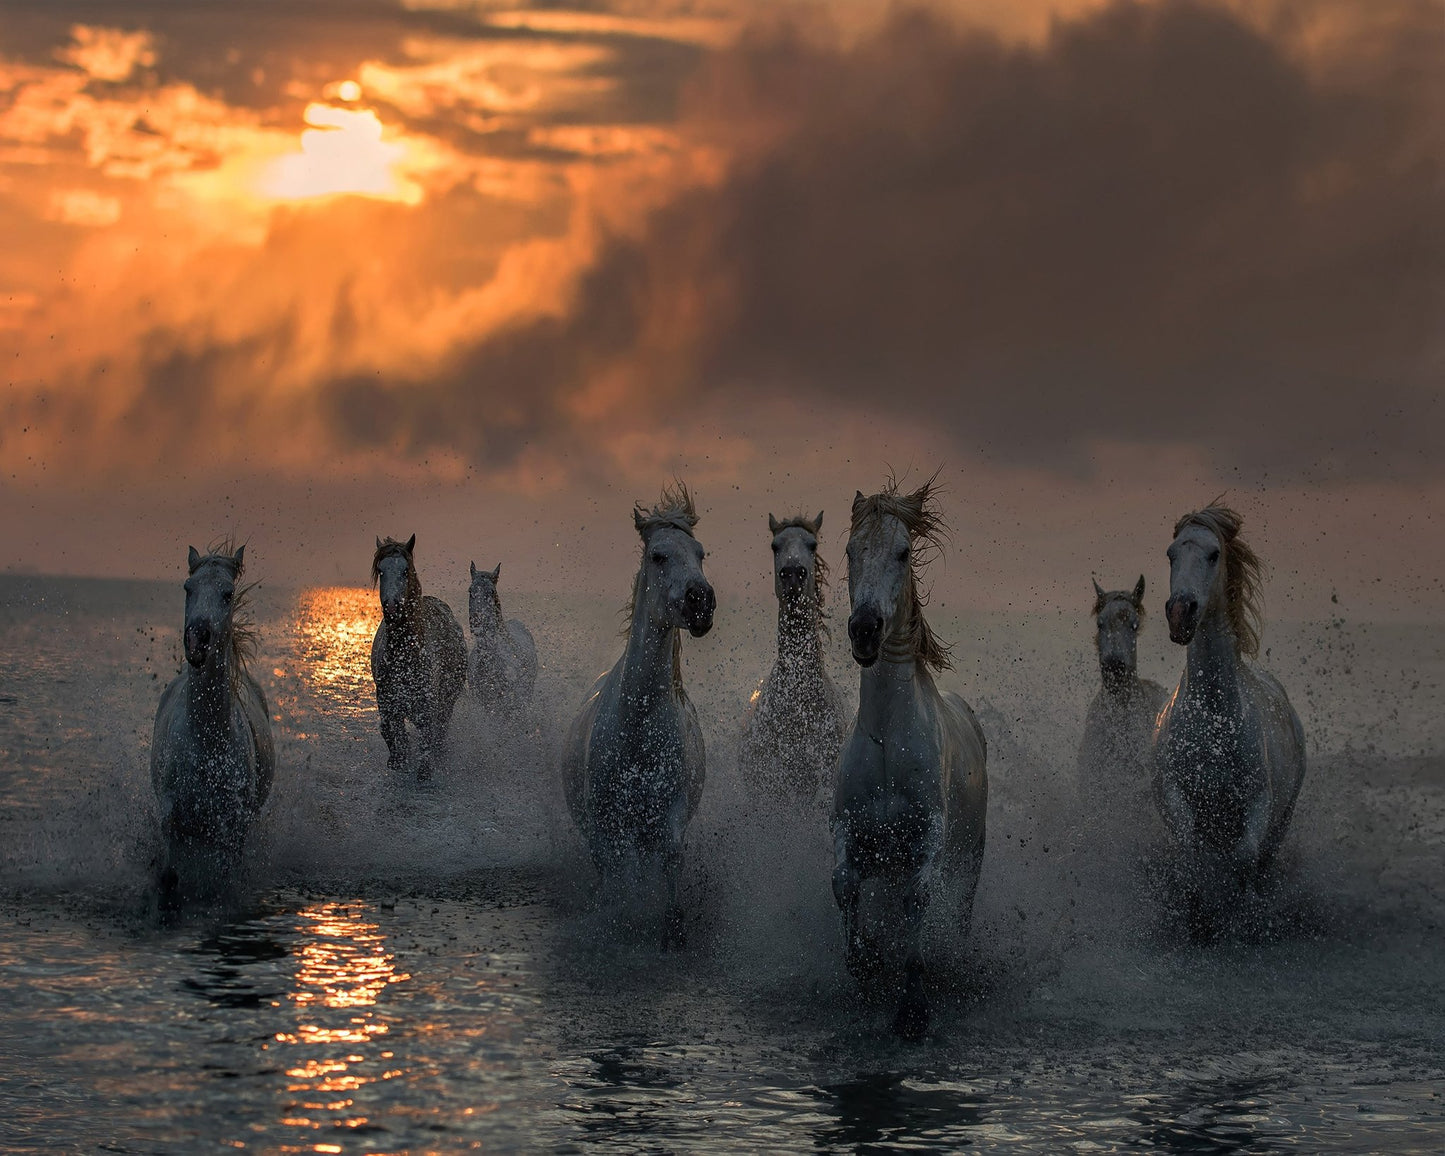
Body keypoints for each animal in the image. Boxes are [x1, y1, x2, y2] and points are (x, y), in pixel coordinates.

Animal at [150, 542, 275, 908]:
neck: (206, 743)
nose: (197, 641)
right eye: (187, 588)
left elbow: (224, 879)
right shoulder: (171, 816)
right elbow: (168, 877)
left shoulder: (233, 830)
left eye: (227, 593)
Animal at [370, 534, 466, 782]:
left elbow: (426, 738)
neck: (405, 656)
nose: (391, 605)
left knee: (441, 728)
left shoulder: (426, 705)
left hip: (448, 699)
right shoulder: (387, 701)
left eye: (405, 570)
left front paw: (424, 771)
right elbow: (390, 732)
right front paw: (398, 760)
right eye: (381, 571)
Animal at [562, 483, 715, 948]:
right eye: (658, 555)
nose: (702, 602)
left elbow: (670, 859)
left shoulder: (670, 815)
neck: (638, 728)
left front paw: (672, 930)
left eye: (700, 553)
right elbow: (613, 878)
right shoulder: (604, 827)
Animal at [832, 479, 988, 1039]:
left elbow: (919, 898)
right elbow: (844, 886)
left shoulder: (928, 836)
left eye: (902, 552)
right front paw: (865, 964)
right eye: (851, 550)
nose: (865, 629)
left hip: (969, 860)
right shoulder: (851, 828)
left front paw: (913, 1009)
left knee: (956, 910)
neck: (888, 738)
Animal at [1151, 503, 1306, 904]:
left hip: (1283, 821)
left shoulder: (1259, 804)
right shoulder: (1176, 798)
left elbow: (1245, 858)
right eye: (1171, 554)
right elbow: (1188, 854)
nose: (1181, 612)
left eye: (1213, 554)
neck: (1215, 721)